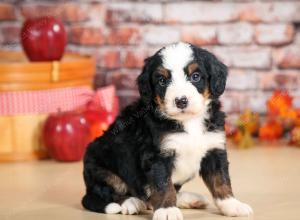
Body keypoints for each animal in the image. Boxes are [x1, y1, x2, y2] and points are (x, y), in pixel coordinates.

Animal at [81, 42, 252, 219]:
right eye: (162, 80)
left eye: (195, 76)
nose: (181, 101)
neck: (189, 122)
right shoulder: (157, 156)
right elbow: (163, 185)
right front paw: (167, 210)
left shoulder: (214, 149)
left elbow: (221, 180)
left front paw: (232, 204)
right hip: (100, 168)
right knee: (110, 192)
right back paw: (132, 202)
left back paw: (190, 199)